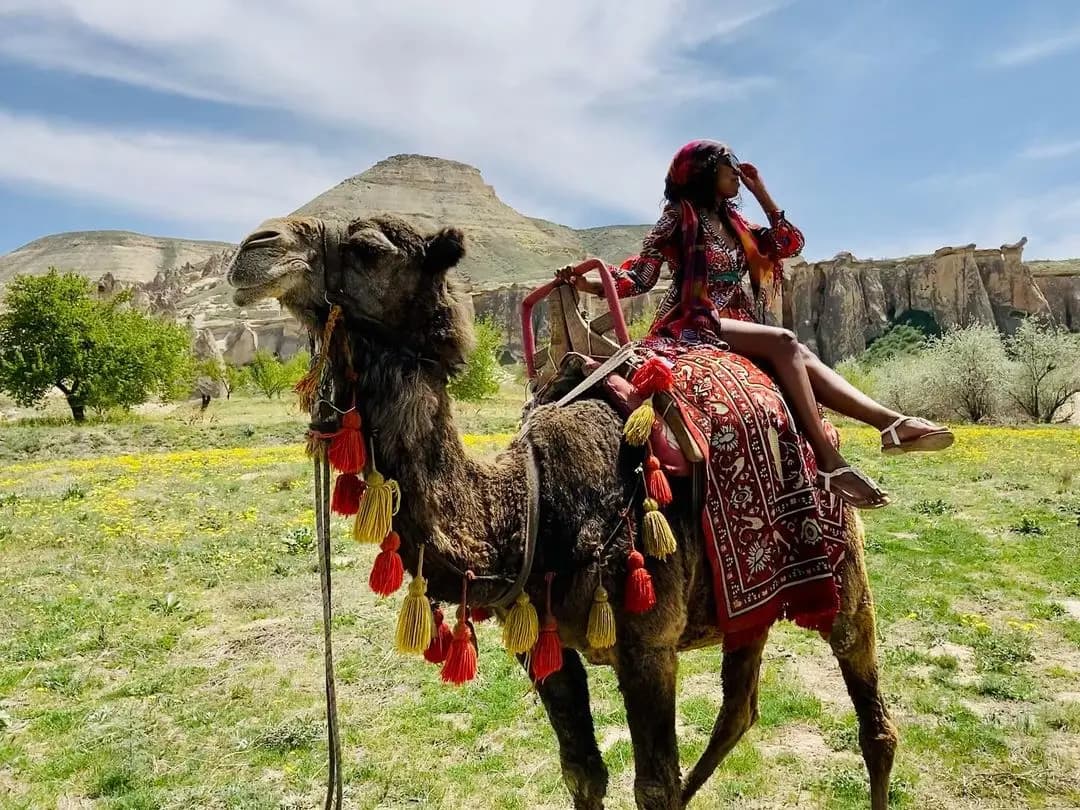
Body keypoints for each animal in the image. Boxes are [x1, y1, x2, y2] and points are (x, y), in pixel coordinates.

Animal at [225, 213, 898, 810]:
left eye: (368, 248)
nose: (255, 247)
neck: (527, 509)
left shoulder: (647, 645)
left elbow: (653, 788)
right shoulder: (537, 640)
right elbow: (582, 772)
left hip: (844, 573)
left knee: (874, 723)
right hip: (746, 605)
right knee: (739, 708)